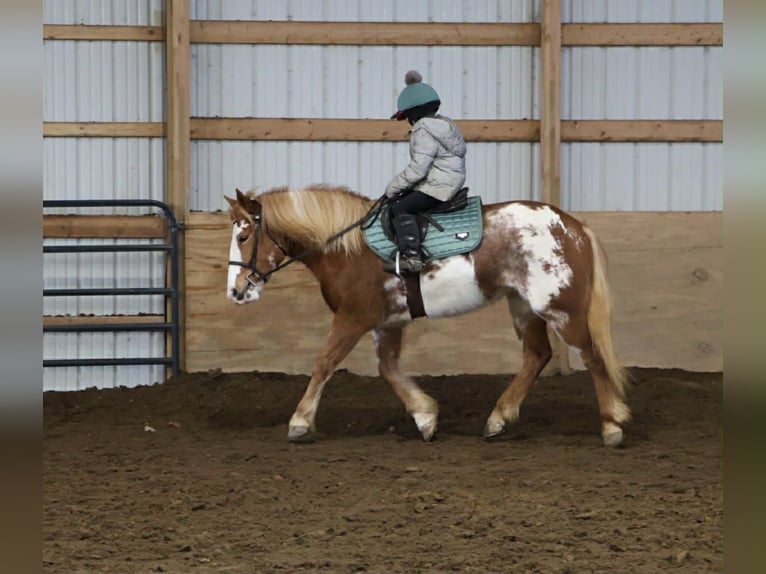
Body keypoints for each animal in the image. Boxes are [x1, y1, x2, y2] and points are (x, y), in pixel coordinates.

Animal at [225, 185, 630, 447]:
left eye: (243, 237)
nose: (236, 291)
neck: (348, 249)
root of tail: (572, 227)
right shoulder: (387, 323)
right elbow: (388, 369)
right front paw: (425, 417)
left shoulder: (353, 318)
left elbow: (325, 362)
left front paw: (299, 421)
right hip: (523, 306)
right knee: (537, 355)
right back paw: (498, 418)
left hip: (561, 310)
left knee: (592, 356)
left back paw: (611, 425)